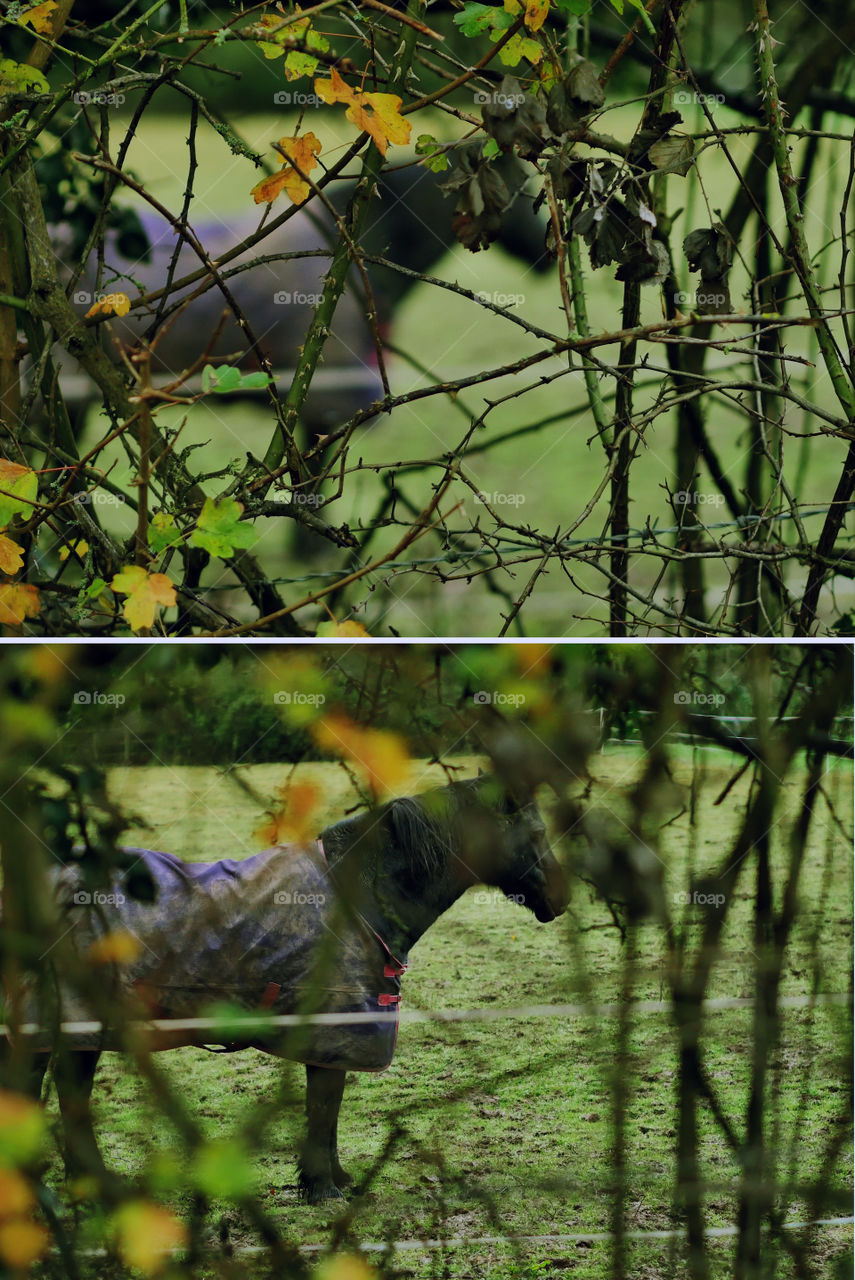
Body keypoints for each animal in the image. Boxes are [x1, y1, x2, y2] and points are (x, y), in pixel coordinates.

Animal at [4, 773, 568, 1203]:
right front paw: (323, 1188)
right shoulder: (335, 1033)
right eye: (537, 831)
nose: (563, 897)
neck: (360, 897)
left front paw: (332, 1180)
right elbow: (324, 1109)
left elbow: (327, 1113)